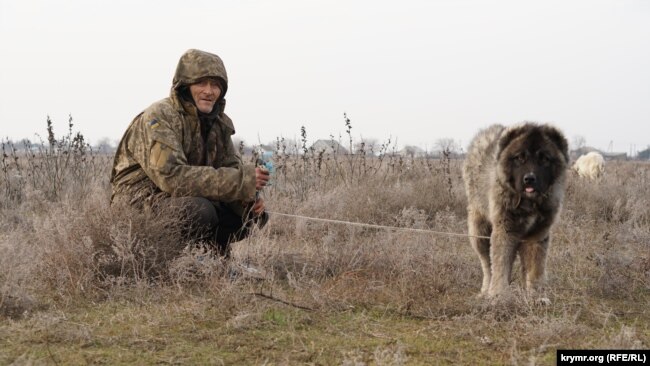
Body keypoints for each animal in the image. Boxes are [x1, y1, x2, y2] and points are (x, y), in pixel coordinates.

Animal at [460, 123, 568, 298]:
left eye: (544, 158)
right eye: (519, 158)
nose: (529, 178)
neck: (529, 202)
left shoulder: (537, 234)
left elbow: (535, 268)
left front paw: (536, 295)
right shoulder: (505, 230)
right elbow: (500, 264)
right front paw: (498, 295)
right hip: (479, 231)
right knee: (487, 265)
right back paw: (485, 290)